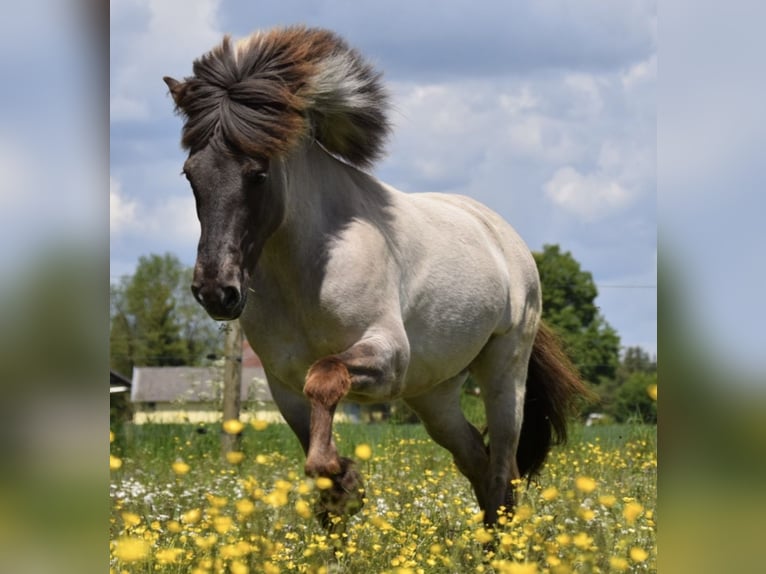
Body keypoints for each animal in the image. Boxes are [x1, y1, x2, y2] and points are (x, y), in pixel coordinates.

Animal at [163, 25, 590, 528]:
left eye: (259, 173)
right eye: (190, 174)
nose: (216, 291)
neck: (306, 275)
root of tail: (504, 236)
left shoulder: (387, 354)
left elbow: (325, 378)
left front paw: (345, 476)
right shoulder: (283, 384)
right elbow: (319, 468)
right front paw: (343, 487)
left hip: (505, 373)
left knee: (504, 472)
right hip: (435, 395)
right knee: (479, 466)